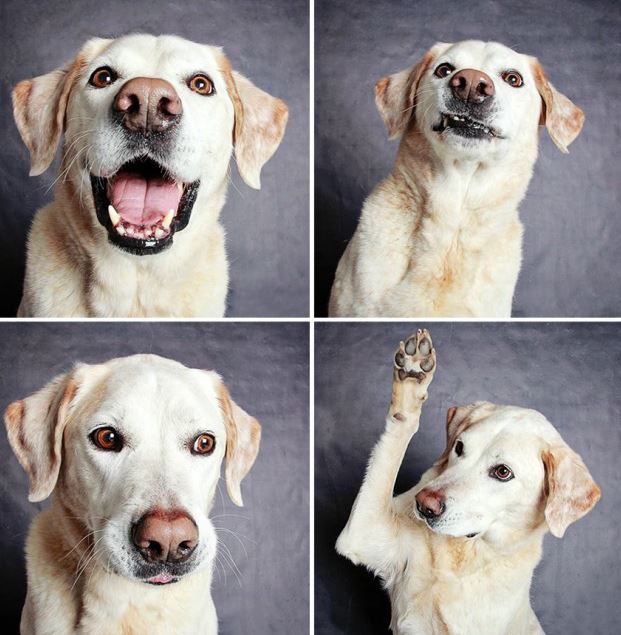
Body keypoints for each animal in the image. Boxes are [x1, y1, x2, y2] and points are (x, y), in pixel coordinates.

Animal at [336, 330, 600, 632]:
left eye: (503, 472)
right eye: (459, 447)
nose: (424, 505)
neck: (464, 555)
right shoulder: (363, 533)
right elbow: (393, 443)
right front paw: (413, 376)